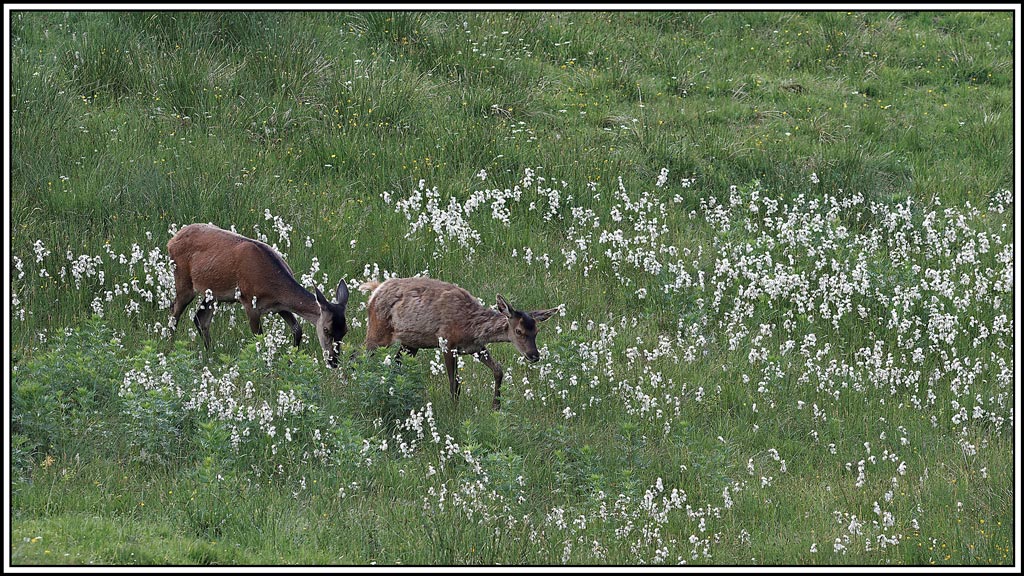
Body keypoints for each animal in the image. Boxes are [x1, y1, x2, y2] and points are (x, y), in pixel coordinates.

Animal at [166, 223, 349, 367]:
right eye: (326, 330)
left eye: (345, 331)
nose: (334, 362)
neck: (272, 285)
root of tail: (171, 241)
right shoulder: (250, 302)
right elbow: (259, 338)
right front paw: (264, 365)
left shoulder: (280, 306)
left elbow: (298, 329)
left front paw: (291, 361)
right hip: (183, 281)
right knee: (174, 312)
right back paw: (171, 348)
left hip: (213, 294)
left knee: (200, 318)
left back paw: (210, 355)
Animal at [360, 277, 559, 410]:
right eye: (518, 331)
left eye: (536, 332)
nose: (534, 355)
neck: (470, 327)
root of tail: (374, 291)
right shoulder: (447, 342)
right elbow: (454, 384)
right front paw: (454, 410)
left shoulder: (476, 347)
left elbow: (498, 369)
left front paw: (496, 406)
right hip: (378, 332)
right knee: (359, 355)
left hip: (410, 343)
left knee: (396, 364)